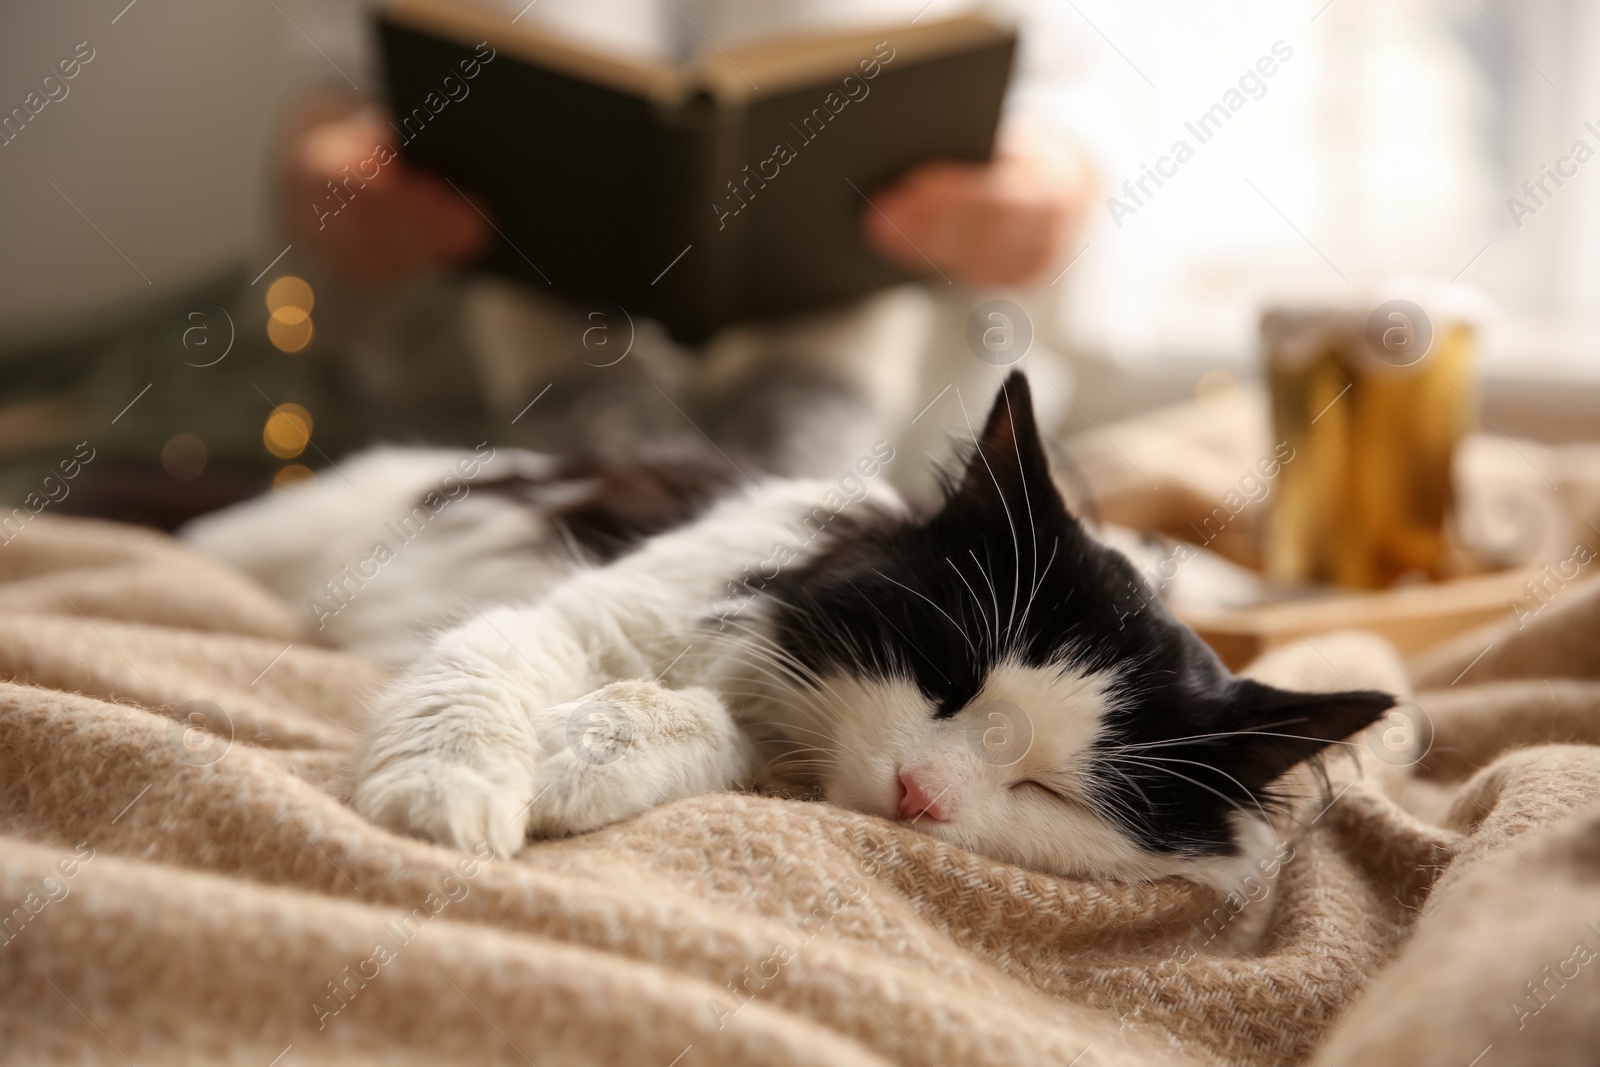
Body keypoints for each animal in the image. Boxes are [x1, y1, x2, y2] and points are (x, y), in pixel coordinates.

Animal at [184, 375, 1388, 895]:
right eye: (944, 676)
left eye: (1048, 790)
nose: (918, 797)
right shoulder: (571, 617)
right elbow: (469, 702)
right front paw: (451, 803)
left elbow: (690, 723)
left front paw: (575, 765)